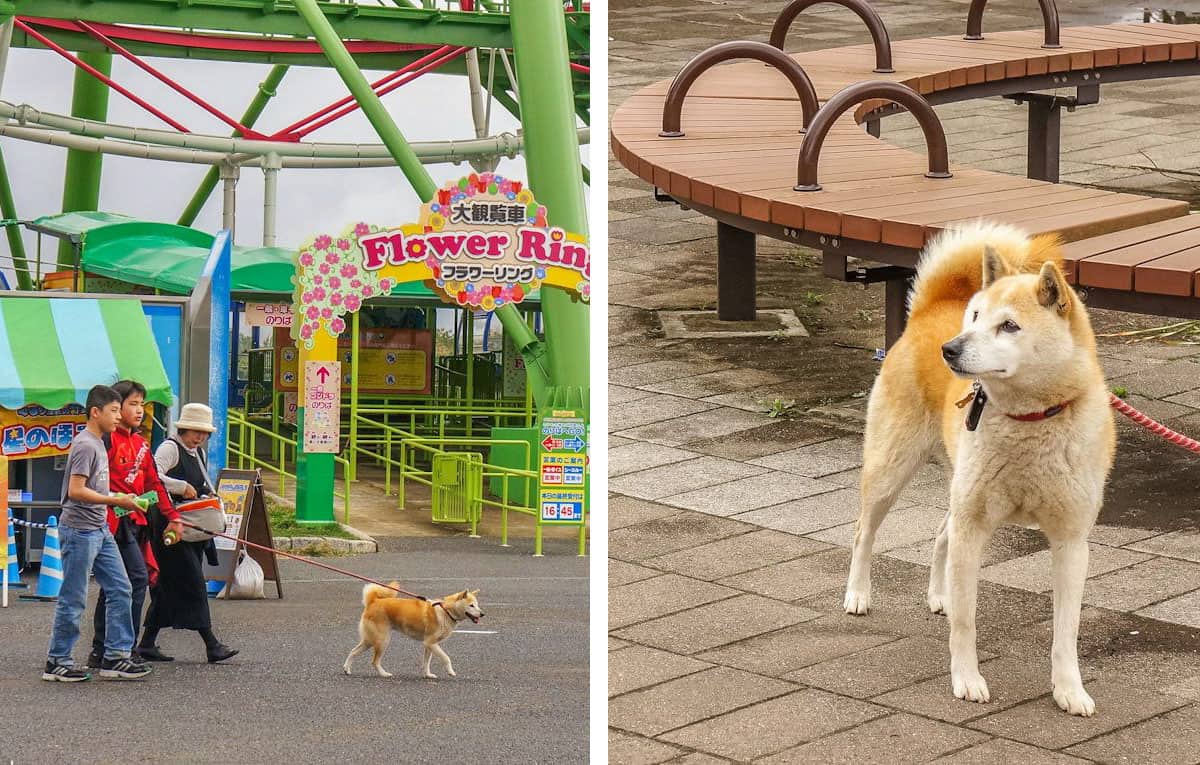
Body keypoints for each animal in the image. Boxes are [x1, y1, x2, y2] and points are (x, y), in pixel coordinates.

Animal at [340, 585, 480, 681]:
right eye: (471, 605)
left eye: (477, 605)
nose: (482, 614)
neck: (445, 611)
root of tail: (374, 601)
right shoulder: (431, 643)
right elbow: (446, 658)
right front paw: (451, 671)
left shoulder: (429, 645)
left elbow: (426, 662)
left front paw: (427, 674)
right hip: (382, 641)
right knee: (374, 661)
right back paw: (384, 674)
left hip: (369, 640)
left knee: (353, 651)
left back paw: (347, 669)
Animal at [844, 221, 1113, 719]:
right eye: (974, 317)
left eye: (1009, 325)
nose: (949, 349)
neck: (1030, 421)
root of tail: (927, 312)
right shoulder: (974, 528)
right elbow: (967, 624)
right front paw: (967, 679)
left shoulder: (1071, 542)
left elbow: (1066, 632)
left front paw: (1069, 689)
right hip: (891, 470)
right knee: (863, 533)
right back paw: (858, 594)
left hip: (960, 486)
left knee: (940, 533)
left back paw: (941, 595)